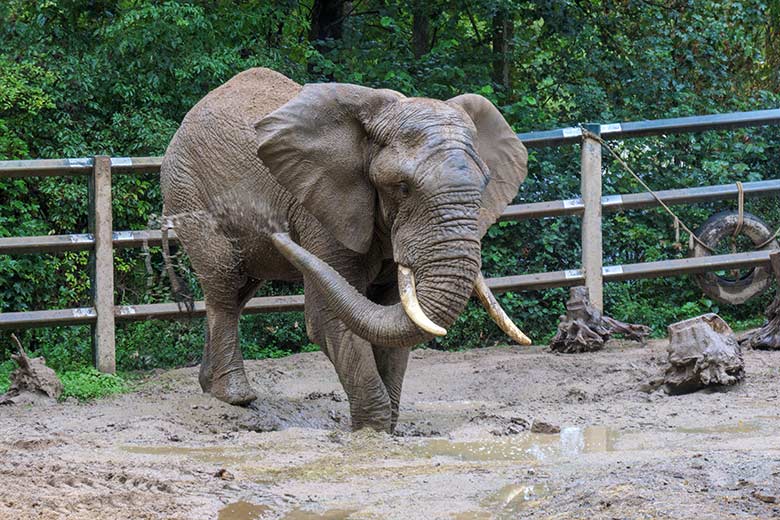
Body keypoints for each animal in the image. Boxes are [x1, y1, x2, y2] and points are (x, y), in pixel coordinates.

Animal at [163, 67, 532, 430]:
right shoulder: (322, 207)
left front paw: (388, 428)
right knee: (225, 282)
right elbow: (329, 316)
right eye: (403, 187)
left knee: (240, 290)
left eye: (485, 184)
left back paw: (211, 388)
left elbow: (393, 312)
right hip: (187, 190)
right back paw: (237, 397)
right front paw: (372, 430)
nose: (277, 229)